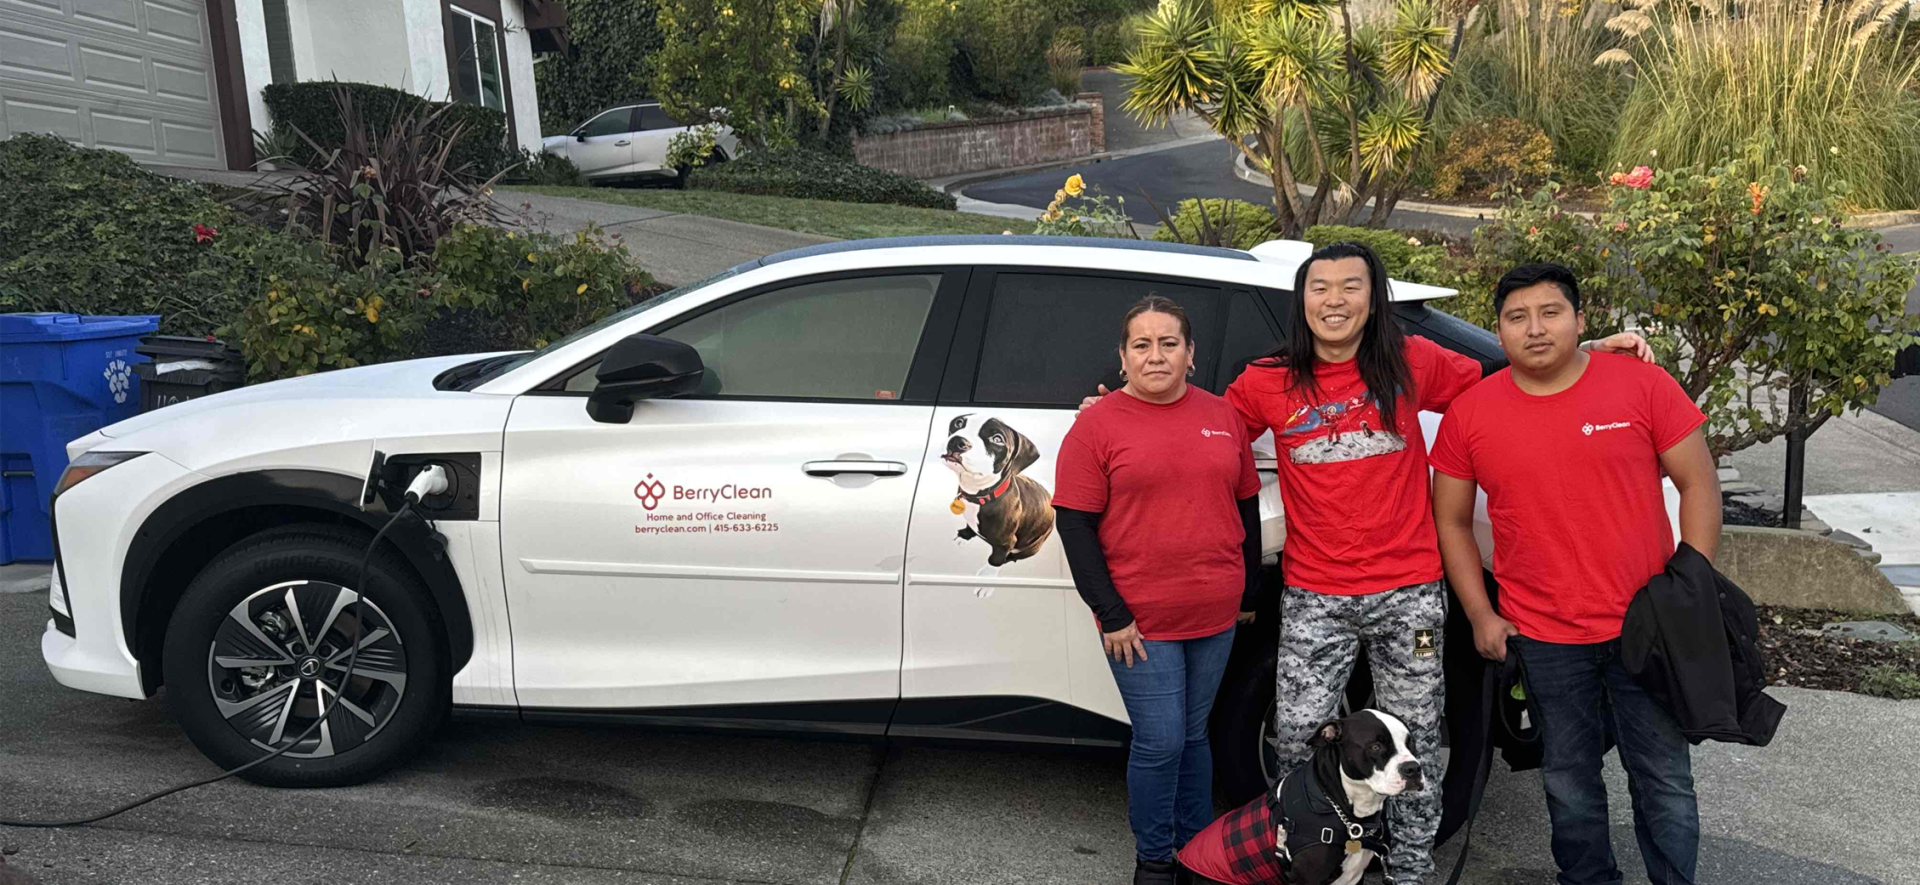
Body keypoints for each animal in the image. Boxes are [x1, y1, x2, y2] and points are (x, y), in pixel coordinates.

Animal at [940, 414, 1059, 564]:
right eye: (959, 423)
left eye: (997, 439)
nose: (957, 441)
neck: (977, 495)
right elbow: (969, 527)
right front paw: (965, 536)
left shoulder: (1005, 544)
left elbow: (994, 561)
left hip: (1033, 545)